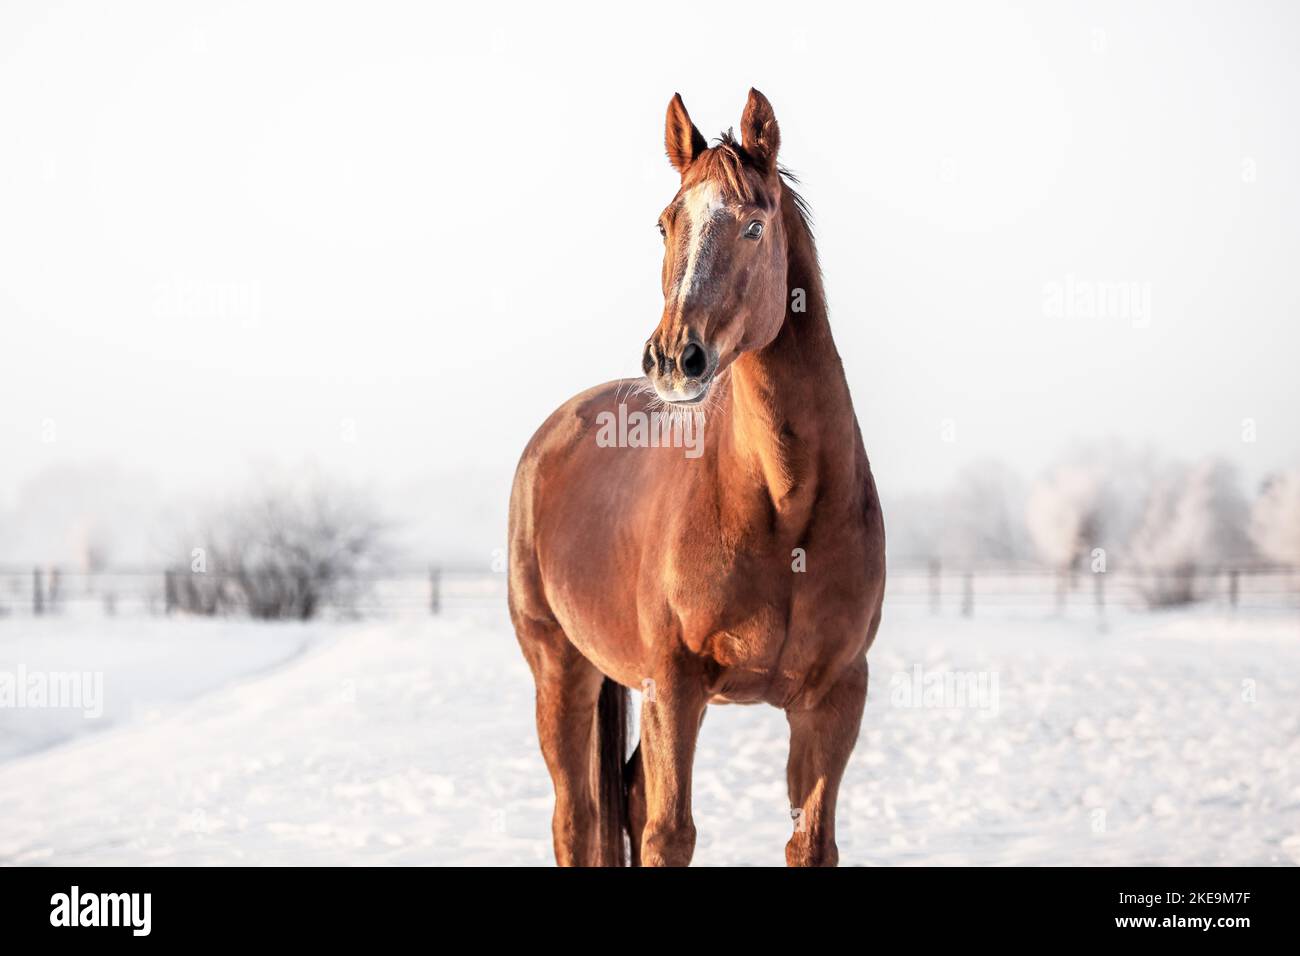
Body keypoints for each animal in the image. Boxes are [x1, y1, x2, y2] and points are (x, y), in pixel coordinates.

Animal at [506, 91, 883, 868]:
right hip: (560, 668)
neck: (783, 506)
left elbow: (810, 843)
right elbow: (668, 834)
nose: (674, 358)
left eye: (753, 223)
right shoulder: (674, 689)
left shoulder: (834, 699)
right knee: (576, 816)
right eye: (665, 222)